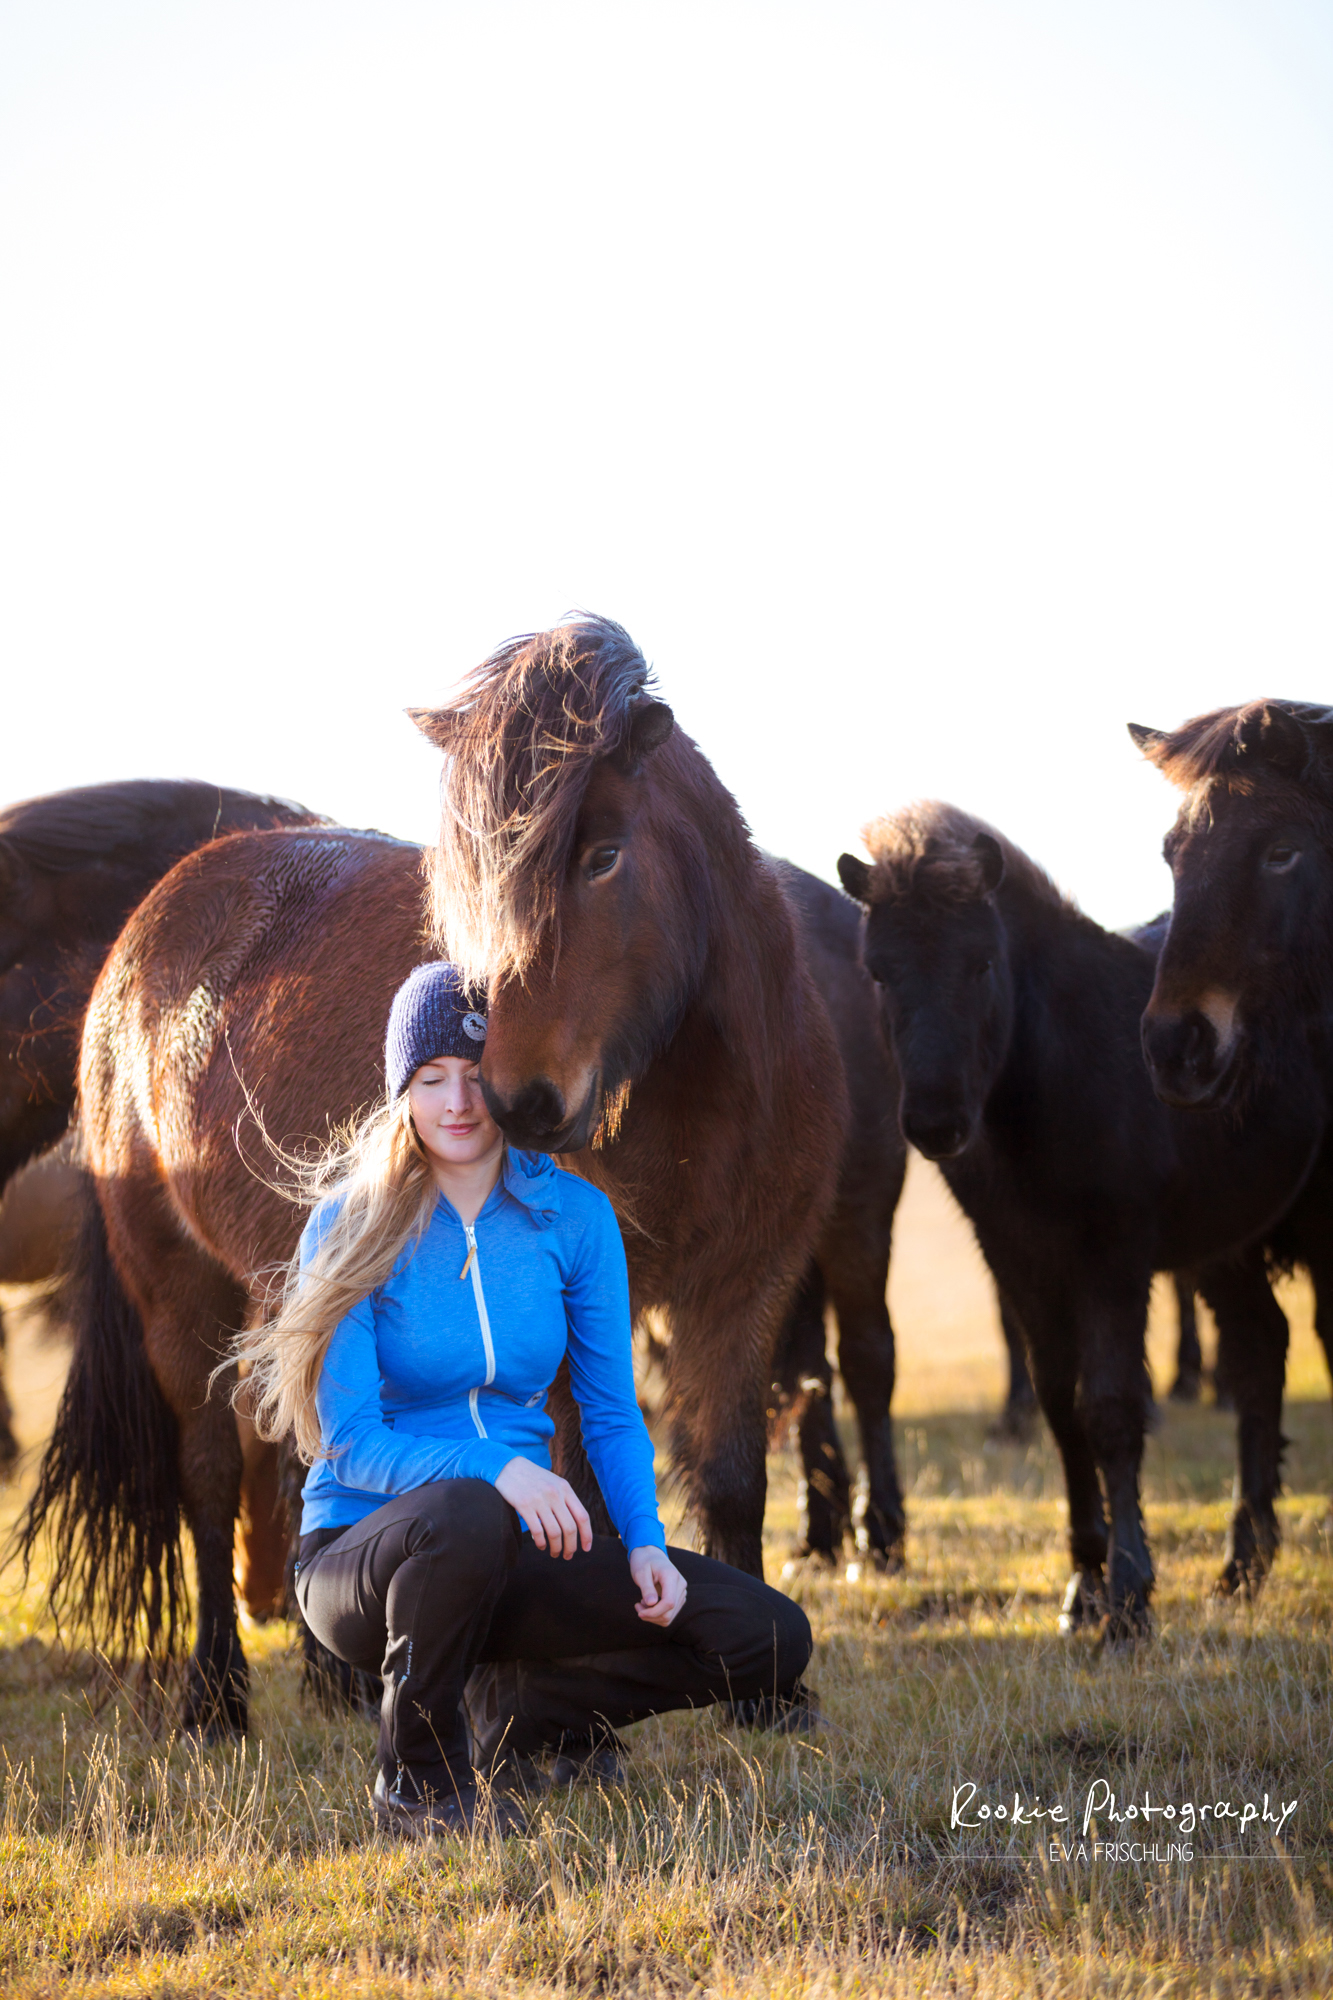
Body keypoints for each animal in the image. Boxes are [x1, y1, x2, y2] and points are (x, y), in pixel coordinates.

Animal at [837, 802, 1327, 1635]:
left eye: (981, 964)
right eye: (876, 971)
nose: (935, 1124)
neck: (1060, 1072)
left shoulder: (1111, 1258)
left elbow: (1110, 1410)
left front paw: (1128, 1596)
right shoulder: (1020, 1260)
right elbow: (1059, 1406)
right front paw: (1084, 1582)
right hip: (1227, 1243)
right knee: (1260, 1352)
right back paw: (1242, 1565)